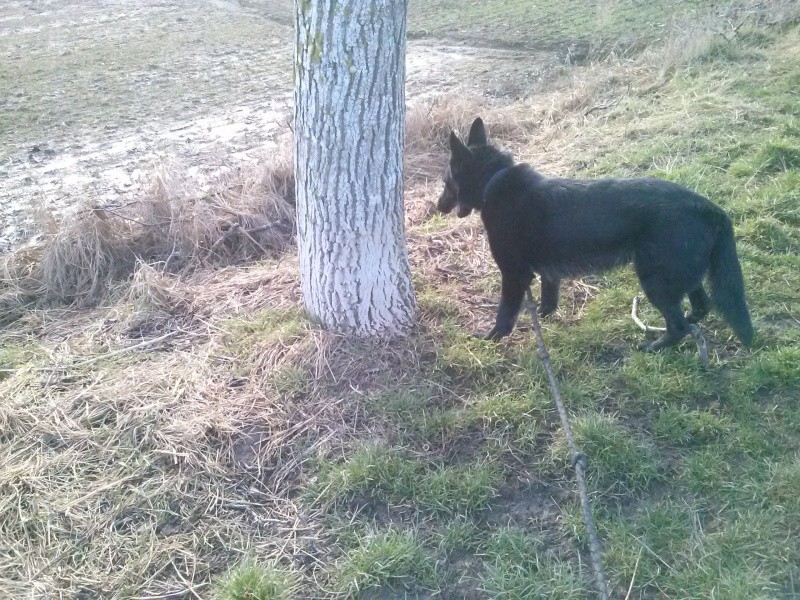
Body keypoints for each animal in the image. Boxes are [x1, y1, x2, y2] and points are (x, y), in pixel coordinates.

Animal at [440, 118, 752, 352]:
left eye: (446, 182)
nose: (437, 206)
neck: (494, 181)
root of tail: (710, 208)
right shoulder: (547, 273)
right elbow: (548, 300)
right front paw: (542, 318)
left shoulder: (514, 274)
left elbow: (505, 314)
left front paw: (490, 339)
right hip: (682, 274)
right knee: (699, 307)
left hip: (656, 281)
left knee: (678, 326)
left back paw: (654, 347)